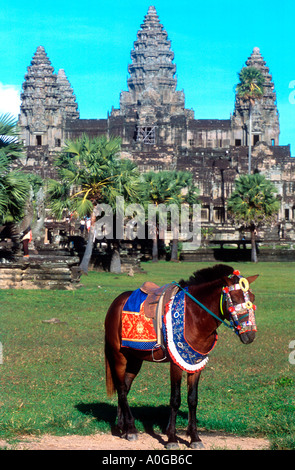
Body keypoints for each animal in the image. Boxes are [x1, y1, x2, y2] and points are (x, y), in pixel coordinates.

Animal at [104, 264, 260, 448]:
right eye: (234, 299)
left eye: (252, 298)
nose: (249, 334)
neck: (193, 316)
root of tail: (116, 303)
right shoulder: (176, 364)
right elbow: (175, 399)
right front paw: (172, 438)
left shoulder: (196, 364)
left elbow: (192, 399)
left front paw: (195, 437)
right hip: (119, 356)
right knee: (121, 389)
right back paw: (132, 429)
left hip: (135, 359)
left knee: (125, 387)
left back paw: (124, 428)